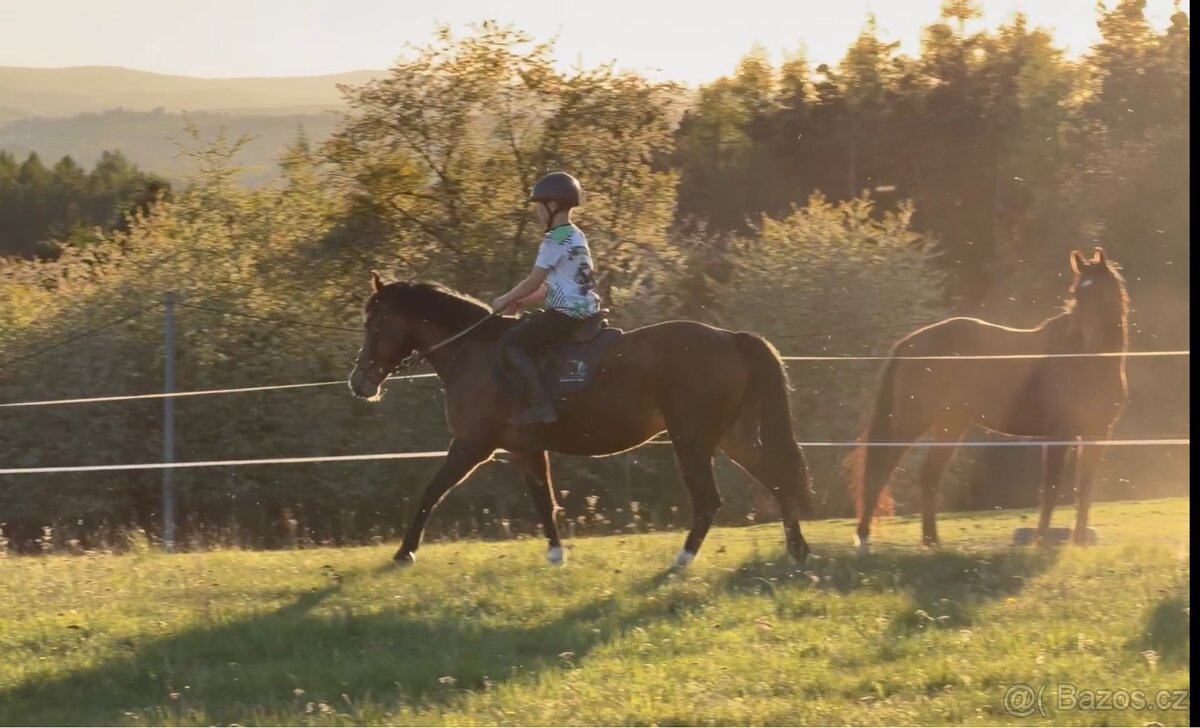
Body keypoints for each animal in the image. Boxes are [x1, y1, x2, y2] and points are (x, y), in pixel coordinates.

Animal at [347, 273, 815, 568]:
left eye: (376, 323)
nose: (359, 382)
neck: (476, 353)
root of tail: (731, 339)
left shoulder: (471, 445)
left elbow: (431, 491)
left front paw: (404, 553)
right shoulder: (524, 450)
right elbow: (544, 501)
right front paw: (556, 556)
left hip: (692, 440)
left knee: (708, 501)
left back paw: (681, 562)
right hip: (730, 437)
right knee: (775, 478)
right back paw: (798, 550)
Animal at [850, 247, 1128, 552]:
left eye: (1101, 292)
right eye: (1076, 293)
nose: (1085, 341)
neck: (1091, 365)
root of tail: (909, 343)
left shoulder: (1096, 434)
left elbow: (1085, 486)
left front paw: (1078, 542)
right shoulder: (1059, 434)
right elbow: (1052, 487)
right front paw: (1041, 541)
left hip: (950, 422)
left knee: (929, 475)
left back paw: (931, 541)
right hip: (912, 422)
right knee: (880, 469)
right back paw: (864, 538)